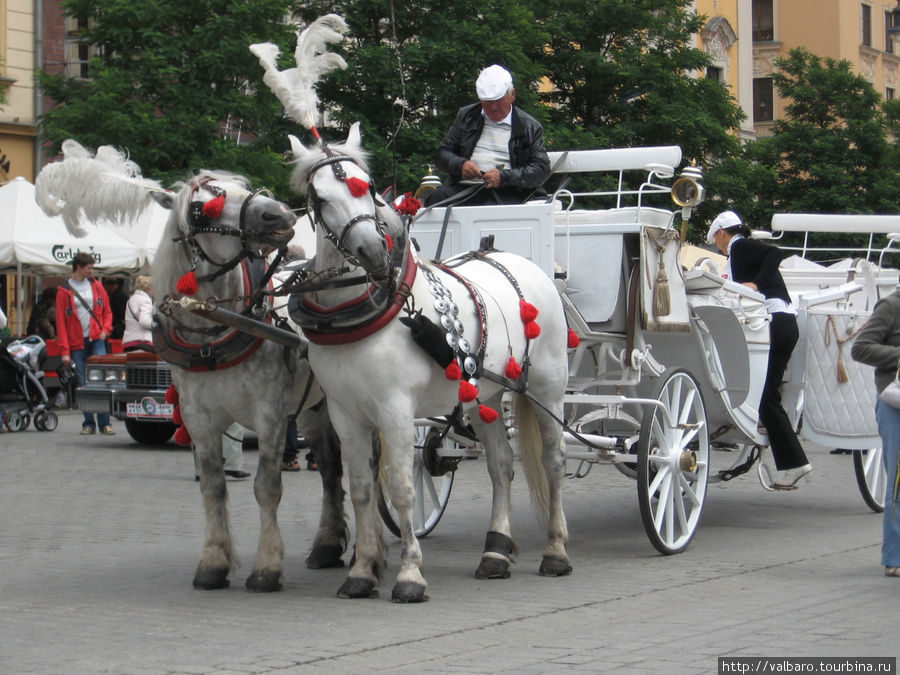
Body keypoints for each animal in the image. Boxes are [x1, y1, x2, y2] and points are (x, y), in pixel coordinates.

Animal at [37, 148, 348, 592]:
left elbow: (266, 486)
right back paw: (326, 546)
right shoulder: (199, 417)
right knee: (331, 470)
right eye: (202, 209)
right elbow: (214, 487)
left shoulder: (269, 415)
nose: (280, 214)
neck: (214, 329)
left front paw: (267, 567)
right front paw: (214, 563)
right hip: (312, 408)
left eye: (243, 188)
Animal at [284, 125, 572, 604]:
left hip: (547, 388)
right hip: (484, 395)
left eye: (369, 189)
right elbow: (360, 490)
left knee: (552, 462)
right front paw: (361, 572)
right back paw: (495, 552)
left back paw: (556, 551)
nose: (373, 253)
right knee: (501, 466)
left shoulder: (396, 411)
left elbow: (401, 490)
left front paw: (409, 576)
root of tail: (523, 263)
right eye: (321, 198)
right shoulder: (345, 415)